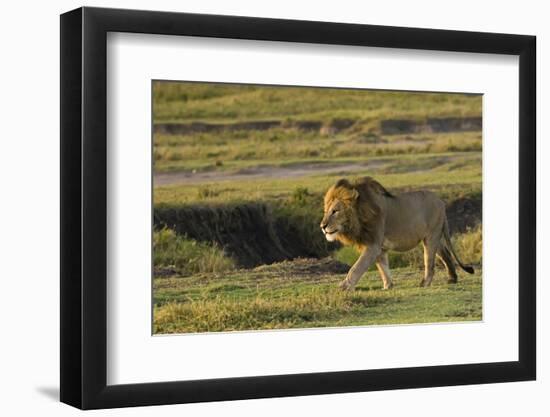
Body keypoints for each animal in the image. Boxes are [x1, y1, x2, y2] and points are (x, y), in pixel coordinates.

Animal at [322, 176, 476, 290]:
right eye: (326, 211)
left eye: (335, 211)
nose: (322, 226)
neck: (359, 216)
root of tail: (441, 202)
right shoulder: (379, 248)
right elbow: (383, 267)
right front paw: (387, 286)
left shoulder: (373, 245)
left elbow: (356, 267)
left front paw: (343, 287)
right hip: (433, 236)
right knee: (446, 254)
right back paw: (452, 279)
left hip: (431, 237)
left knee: (429, 263)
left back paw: (425, 283)